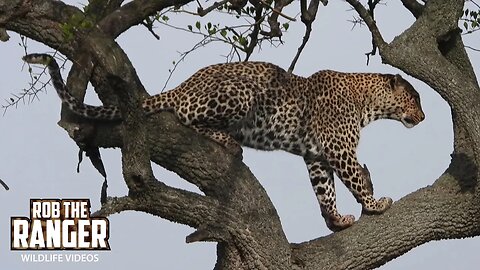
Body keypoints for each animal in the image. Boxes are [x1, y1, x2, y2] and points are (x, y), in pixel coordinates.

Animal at [24, 53, 426, 232]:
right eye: (414, 98)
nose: (423, 117)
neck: (367, 102)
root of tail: (183, 86)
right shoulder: (338, 148)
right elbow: (355, 178)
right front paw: (375, 204)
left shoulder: (316, 154)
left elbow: (324, 189)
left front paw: (336, 219)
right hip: (240, 95)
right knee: (186, 120)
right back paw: (229, 141)